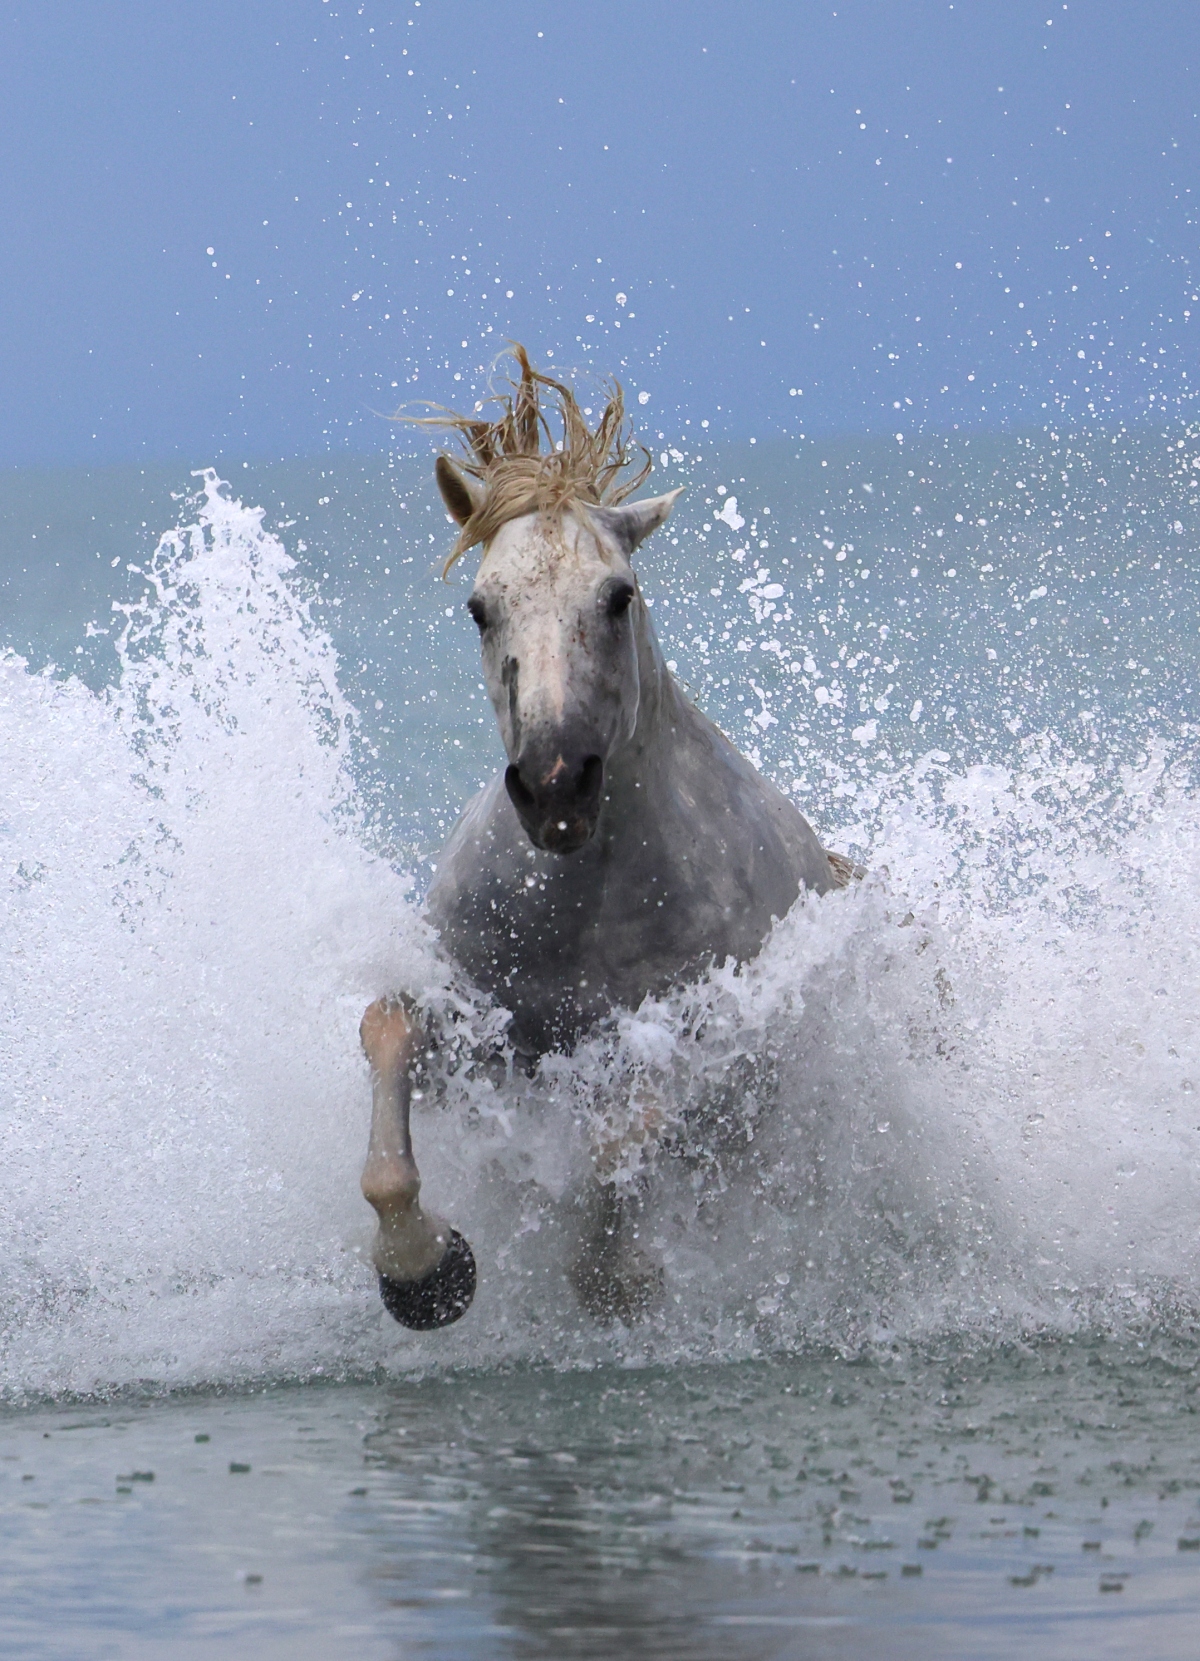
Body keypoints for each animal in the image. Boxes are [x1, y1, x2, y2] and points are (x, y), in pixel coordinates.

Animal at [359, 347, 852, 1329]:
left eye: (618, 595)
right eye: (480, 606)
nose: (556, 784)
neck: (582, 903)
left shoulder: (700, 1054)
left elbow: (623, 1141)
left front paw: (617, 1278)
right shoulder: (479, 1023)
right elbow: (387, 1034)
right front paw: (424, 1270)